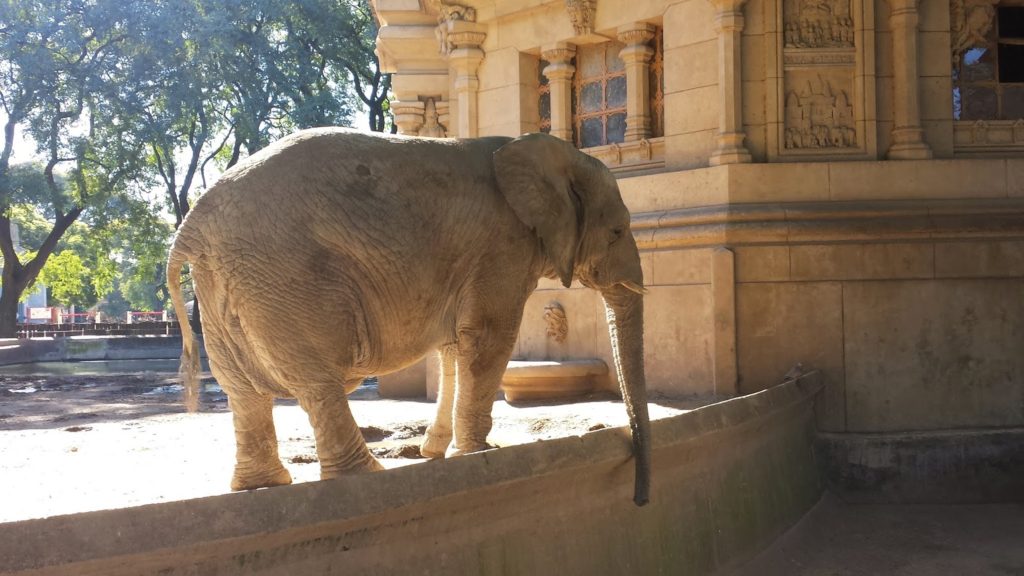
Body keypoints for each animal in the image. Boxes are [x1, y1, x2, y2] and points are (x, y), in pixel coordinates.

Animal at [168, 128, 652, 506]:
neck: (544, 150)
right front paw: (477, 453)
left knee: (243, 391)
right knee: (317, 384)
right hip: (280, 279)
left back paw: (261, 486)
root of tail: (190, 226)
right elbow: (488, 337)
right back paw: (364, 477)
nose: (640, 499)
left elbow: (456, 346)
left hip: (222, 284)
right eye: (617, 231)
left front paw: (436, 453)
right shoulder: (502, 246)